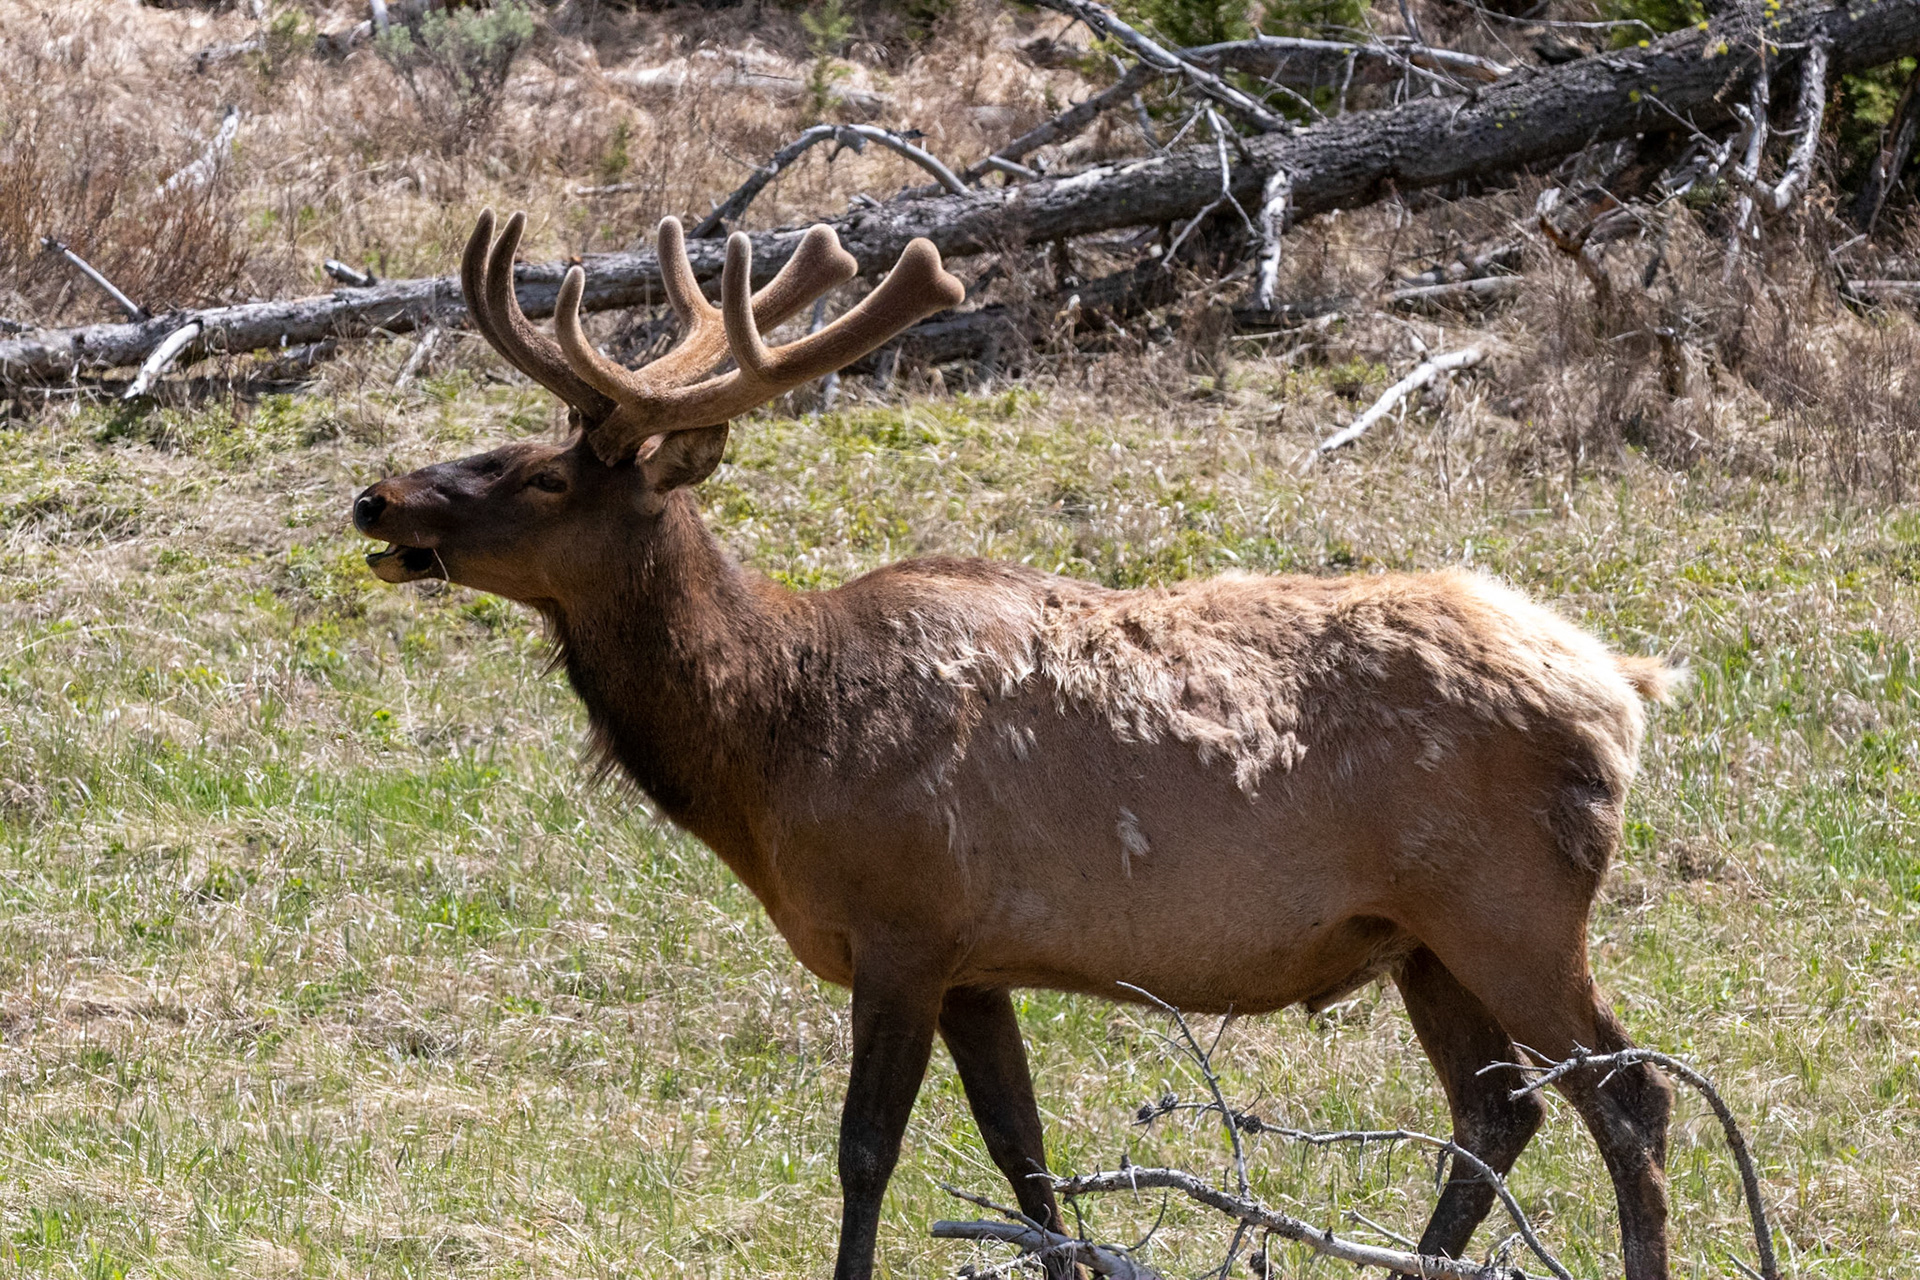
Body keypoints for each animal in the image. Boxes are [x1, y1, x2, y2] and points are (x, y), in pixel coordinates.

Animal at [352, 208, 1679, 1280]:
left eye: (541, 476)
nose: (376, 496)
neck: (767, 748)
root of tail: (1625, 690)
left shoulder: (904, 924)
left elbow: (867, 1149)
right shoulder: (978, 960)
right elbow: (1025, 1158)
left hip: (1510, 904)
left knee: (1630, 1097)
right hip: (1420, 935)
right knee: (1498, 1111)